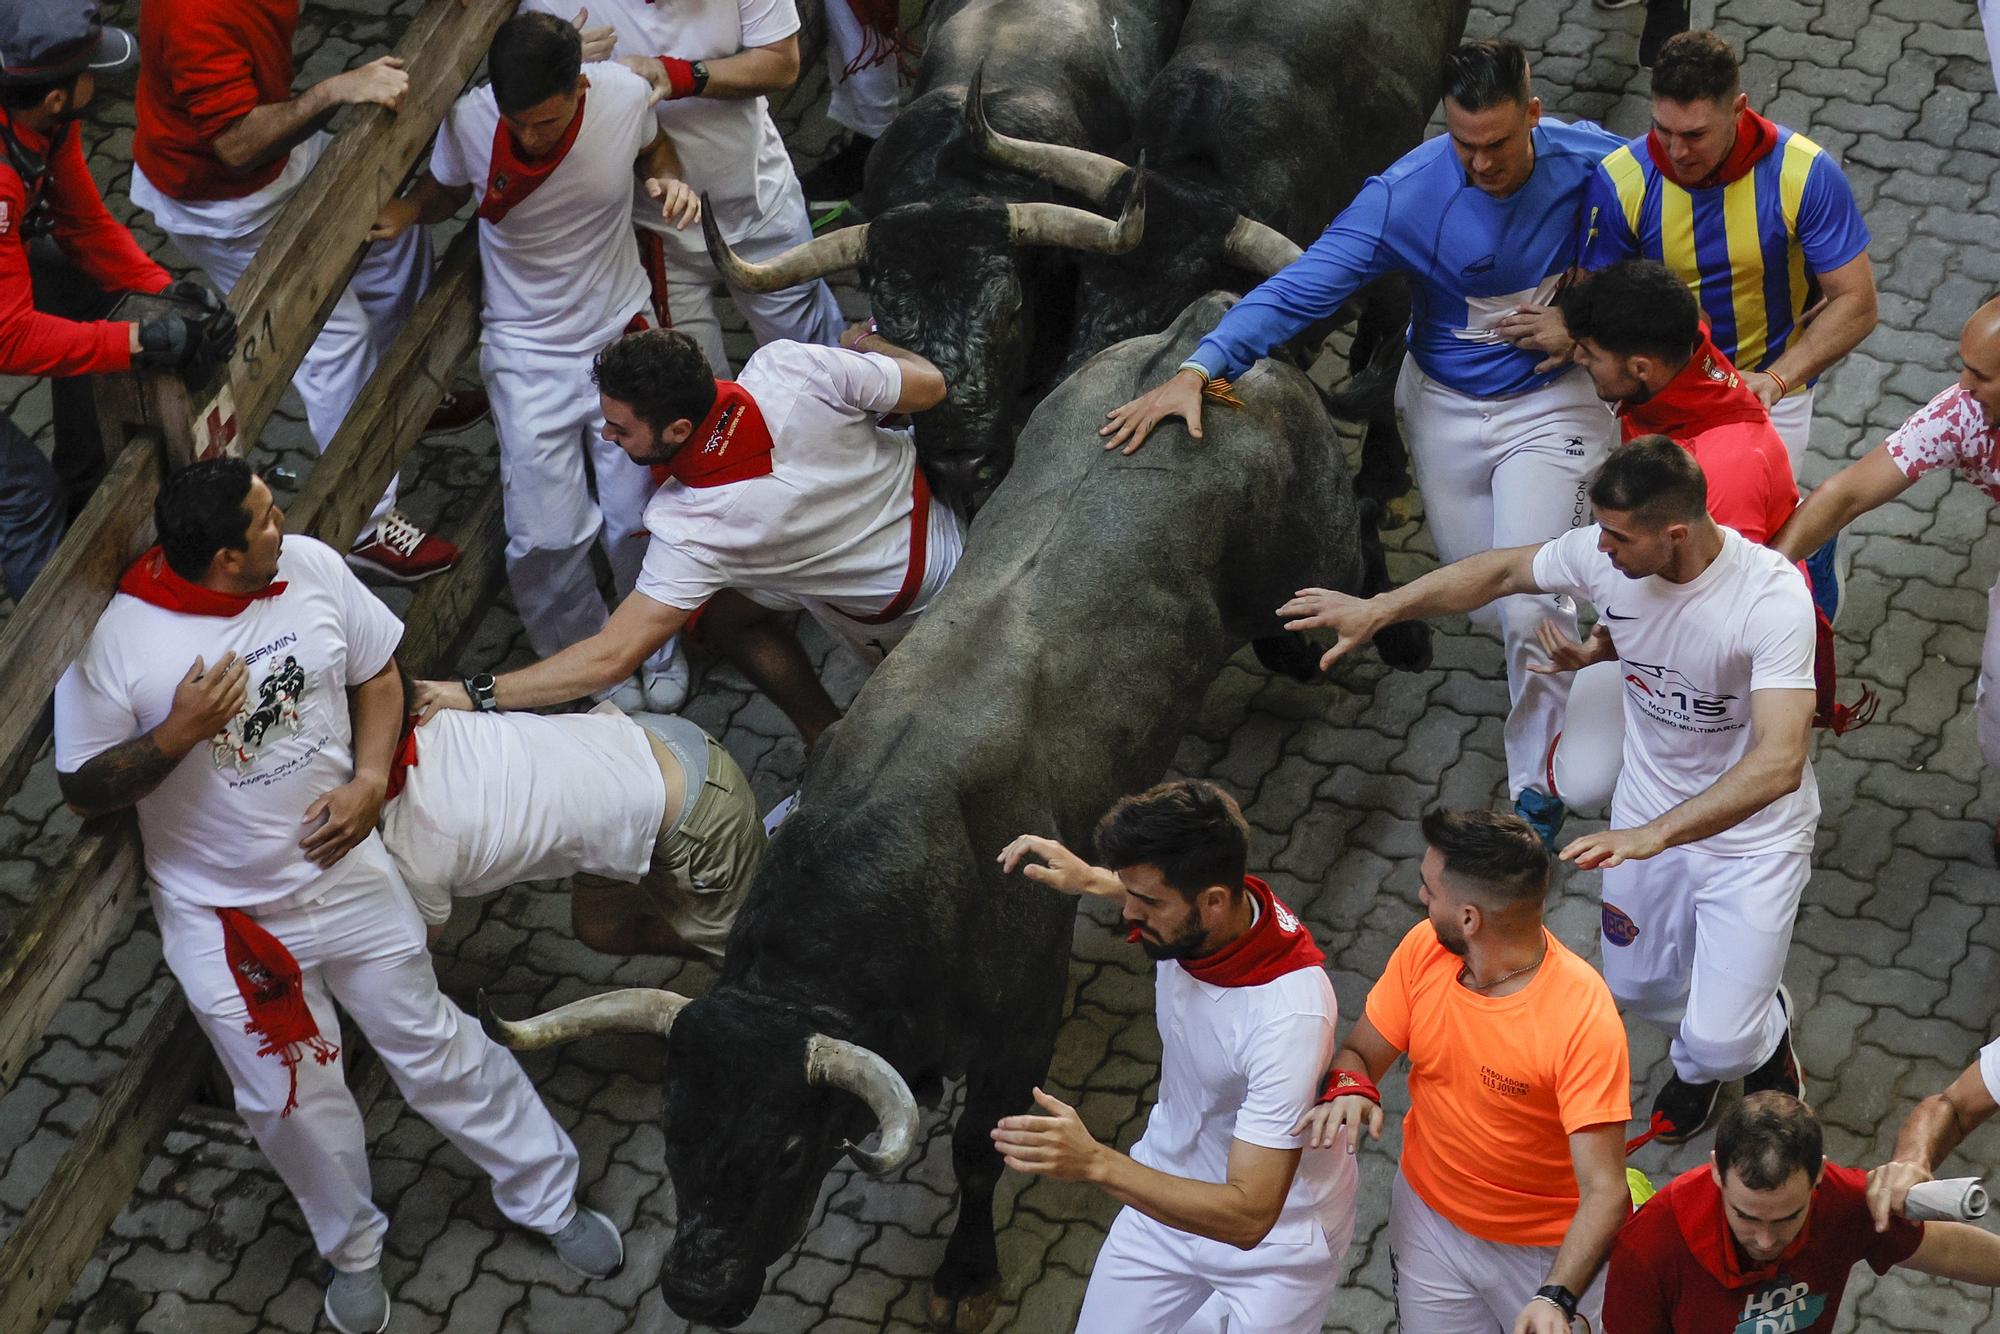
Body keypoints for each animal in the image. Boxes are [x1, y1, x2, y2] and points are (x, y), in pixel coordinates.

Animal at [482, 298, 1424, 1328]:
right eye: (673, 1129)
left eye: (785, 1146)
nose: (697, 1288)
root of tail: (1201, 347)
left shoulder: (1021, 1026)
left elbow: (980, 1149)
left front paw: (967, 1272)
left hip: (1303, 576)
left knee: (1348, 561)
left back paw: (1409, 629)